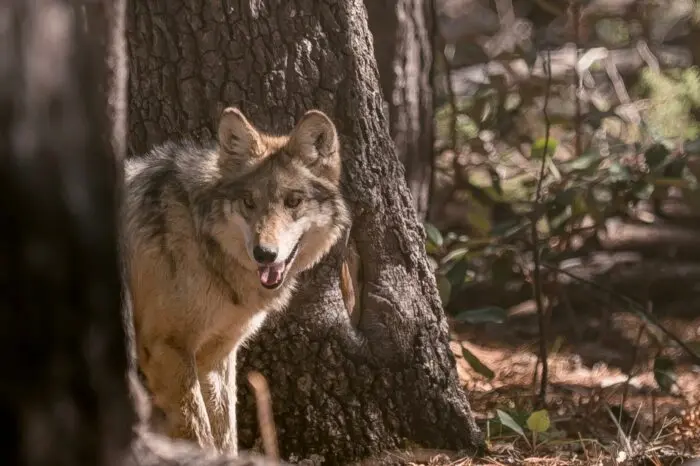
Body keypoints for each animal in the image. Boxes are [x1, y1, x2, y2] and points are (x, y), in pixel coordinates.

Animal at [120, 107, 351, 455]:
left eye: (293, 201)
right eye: (249, 202)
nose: (264, 254)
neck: (200, 237)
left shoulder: (216, 356)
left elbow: (225, 434)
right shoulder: (168, 348)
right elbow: (199, 433)